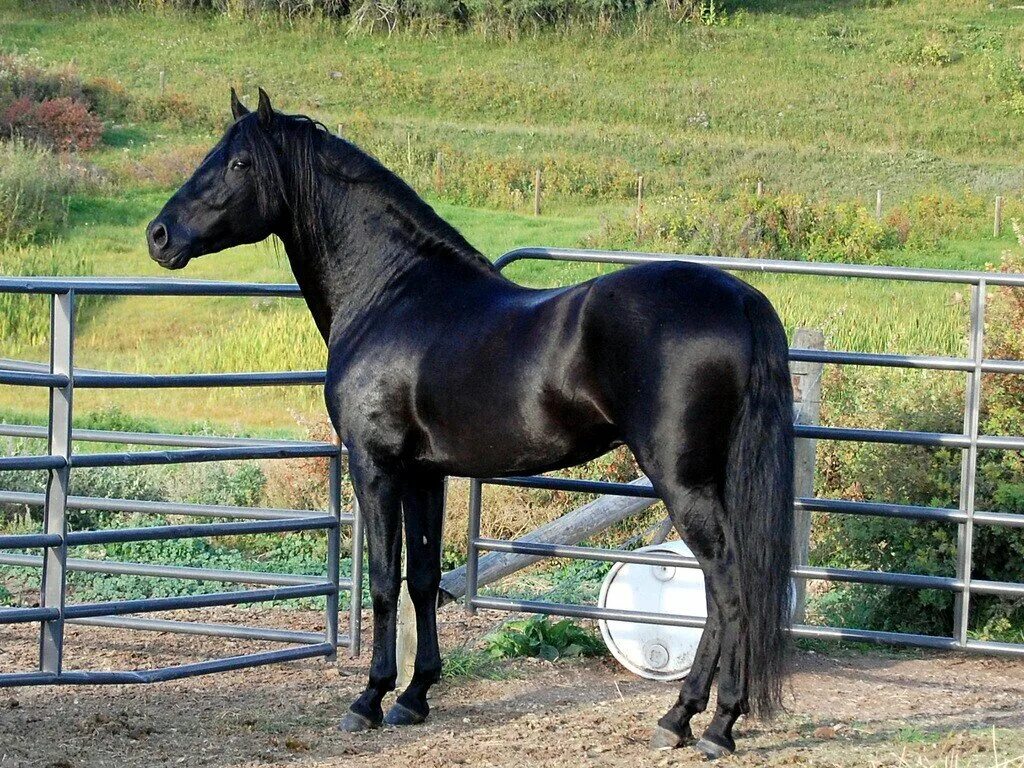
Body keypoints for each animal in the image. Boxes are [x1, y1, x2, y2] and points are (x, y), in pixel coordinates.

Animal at [147, 88, 795, 759]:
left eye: (240, 163)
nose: (159, 235)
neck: (392, 295)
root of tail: (742, 299)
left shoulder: (376, 466)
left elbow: (386, 580)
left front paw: (369, 699)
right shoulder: (426, 475)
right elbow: (425, 579)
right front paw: (415, 697)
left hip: (682, 481)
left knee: (727, 585)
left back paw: (711, 725)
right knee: (722, 590)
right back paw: (683, 718)